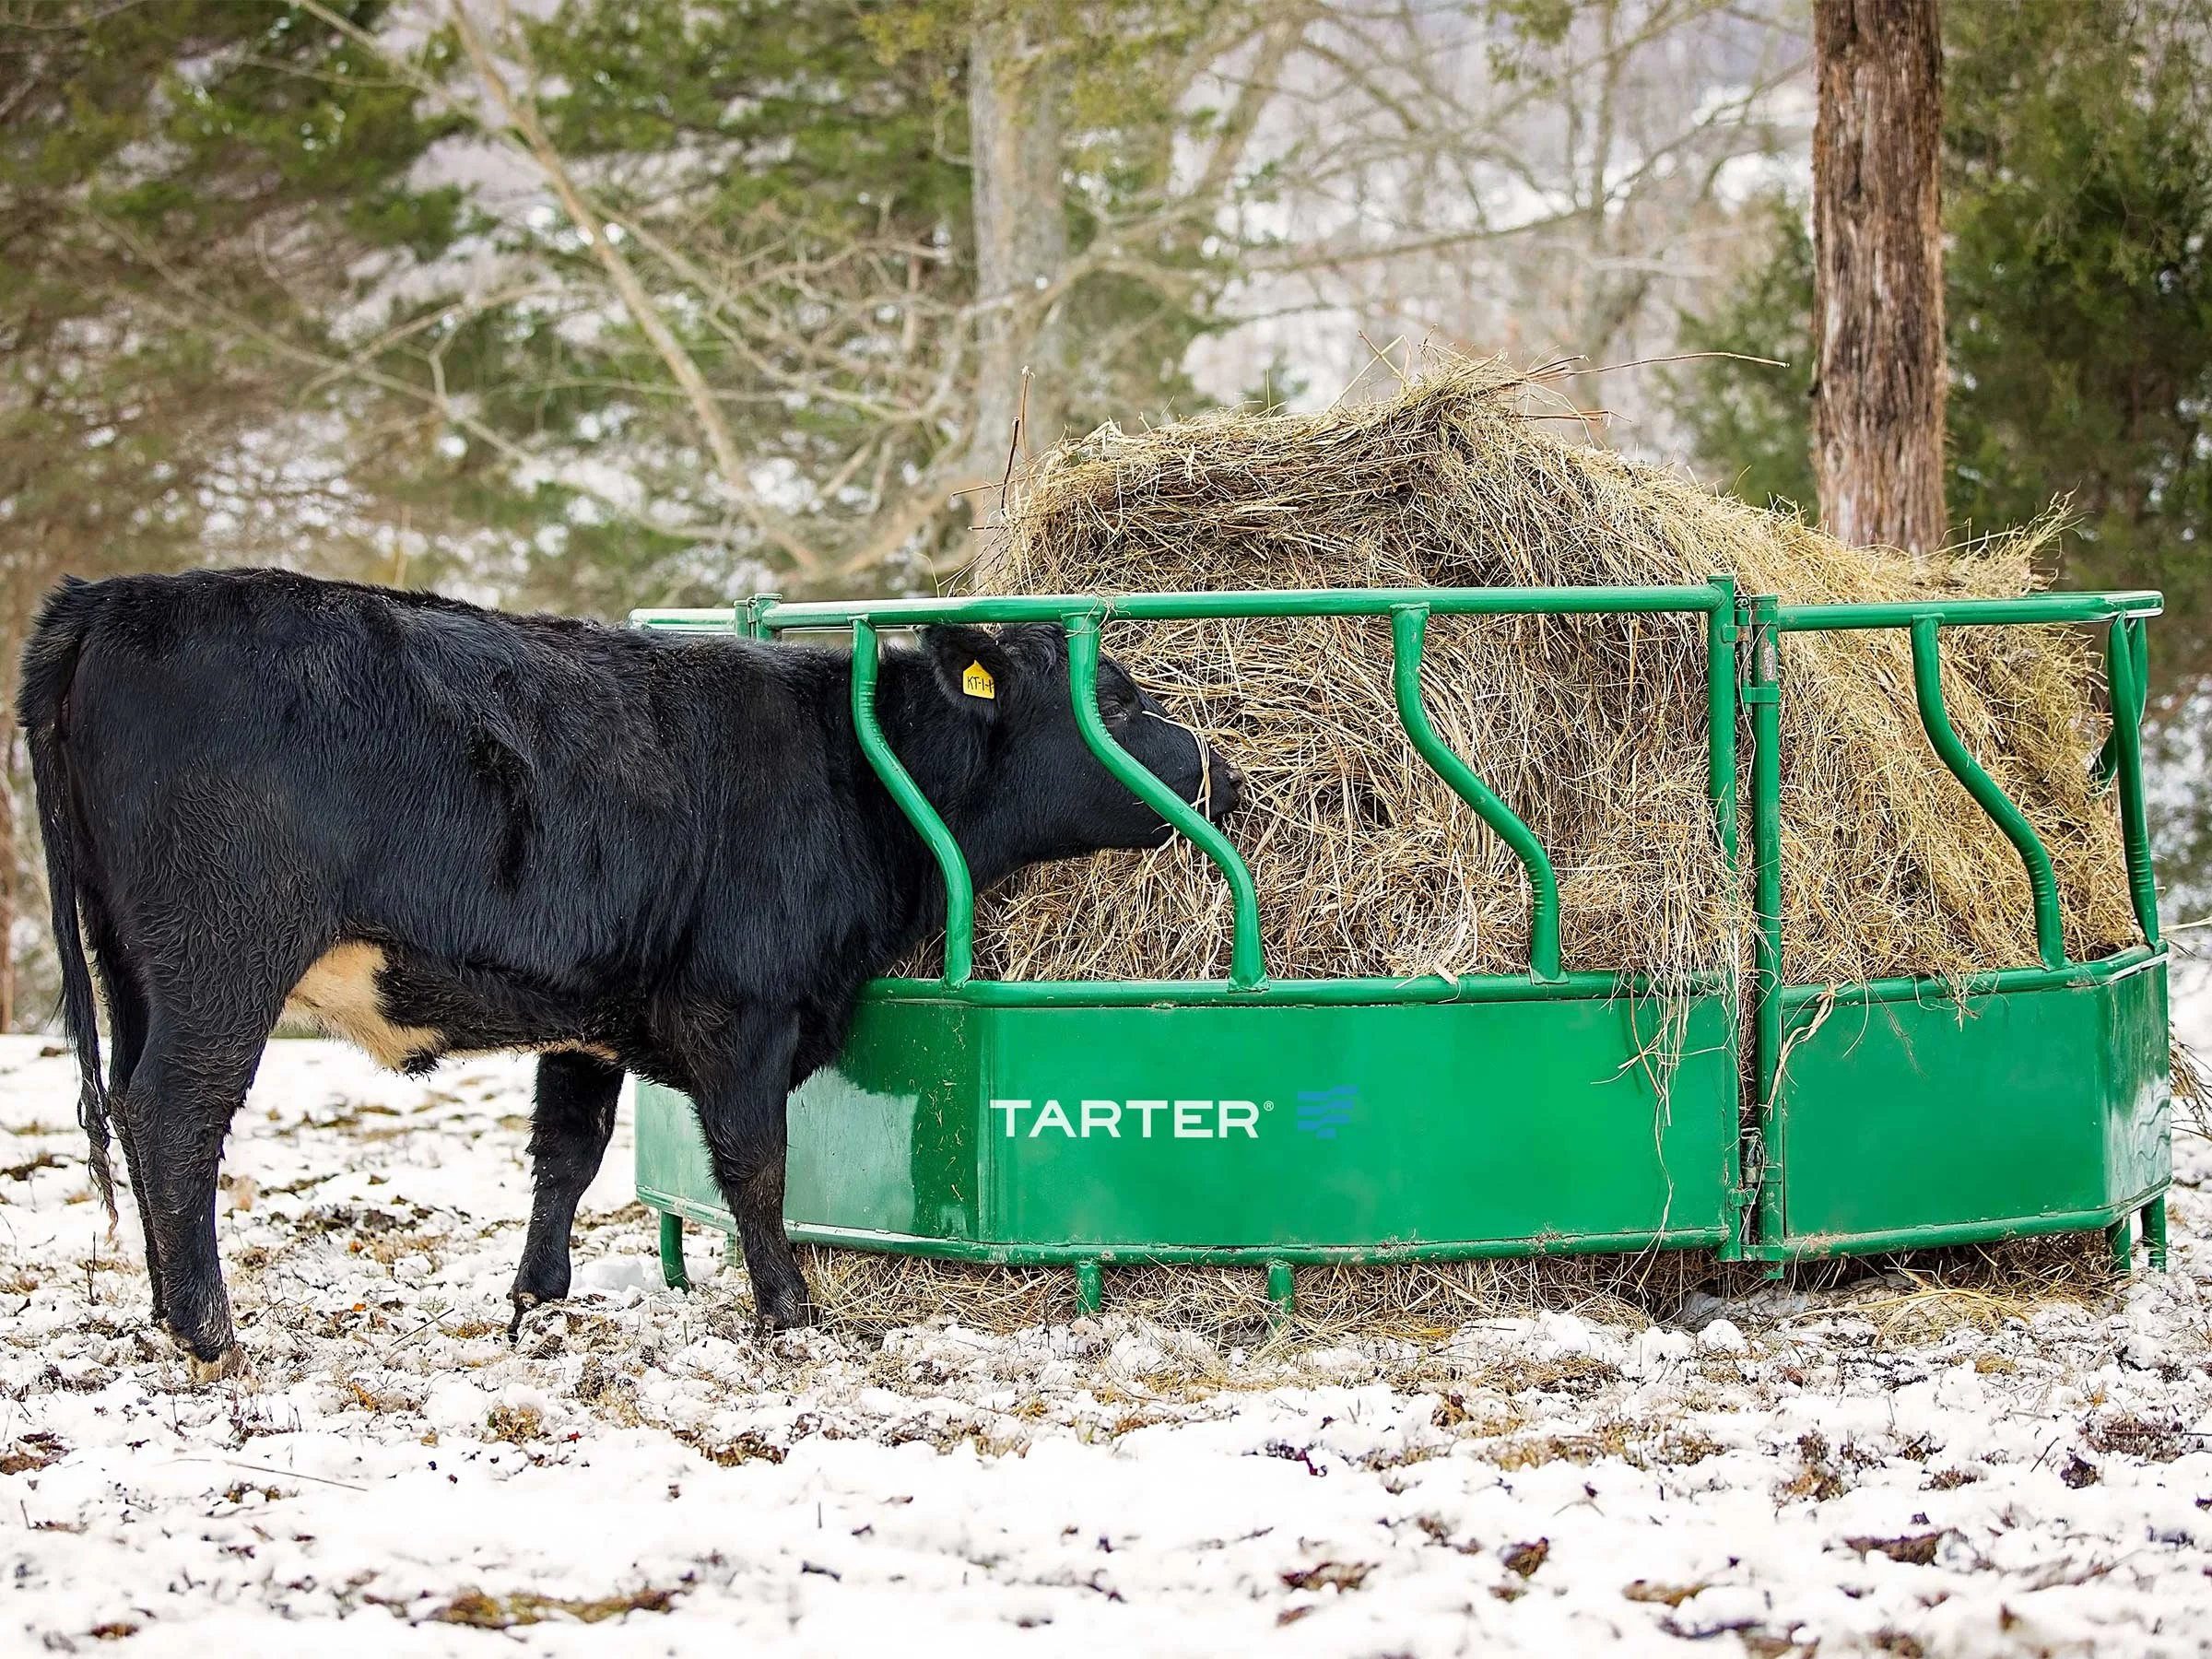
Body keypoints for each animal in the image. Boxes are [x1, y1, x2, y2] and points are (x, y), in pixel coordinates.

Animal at [18, 569, 1241, 1381]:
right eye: (1116, 701)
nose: (1221, 773)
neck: (852, 768)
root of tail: (112, 596)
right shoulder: (744, 1009)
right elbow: (754, 1166)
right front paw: (791, 1314)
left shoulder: (587, 1013)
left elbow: (567, 1154)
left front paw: (536, 1307)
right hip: (221, 958)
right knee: (174, 1116)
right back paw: (209, 1329)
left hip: (132, 966)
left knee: (134, 1109)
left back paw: (168, 1311)